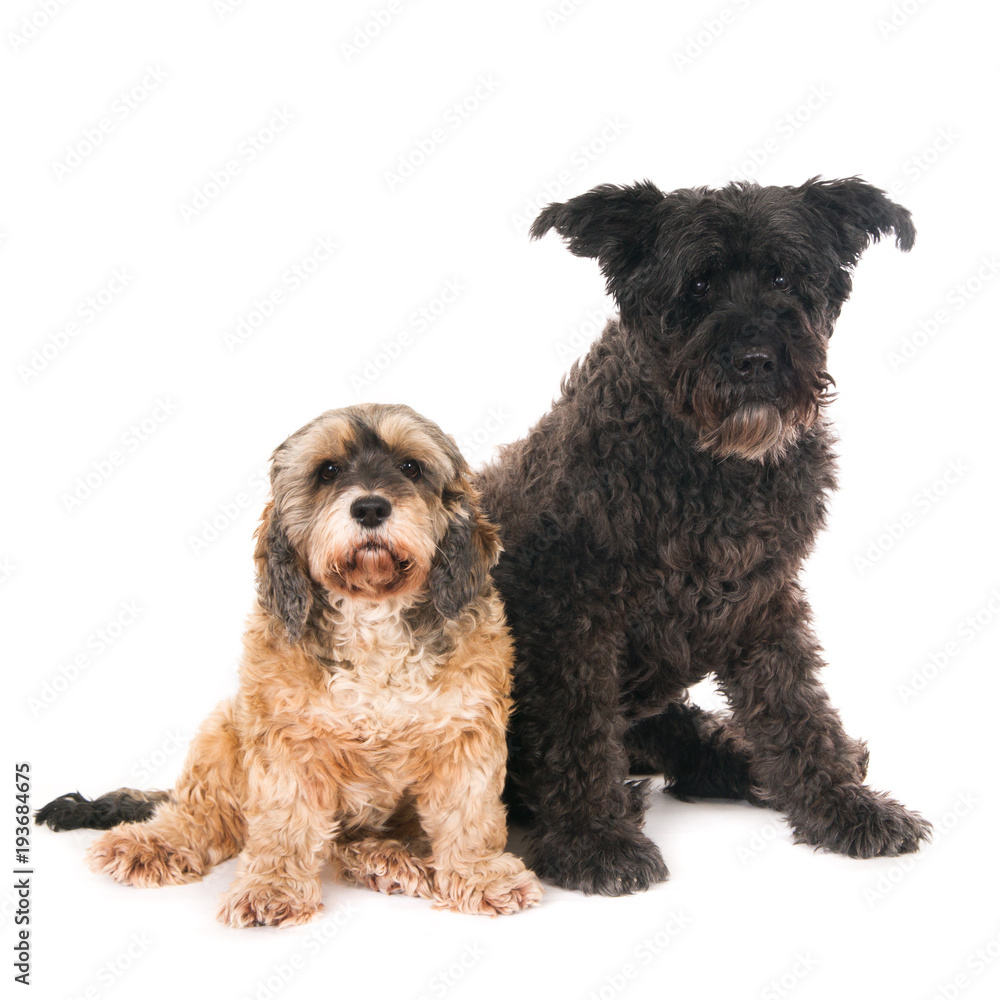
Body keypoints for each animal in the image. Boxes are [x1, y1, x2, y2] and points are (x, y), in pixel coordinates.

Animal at [35, 402, 544, 924]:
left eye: (410, 467)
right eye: (328, 471)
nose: (370, 508)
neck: (373, 614)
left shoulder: (467, 734)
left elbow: (469, 812)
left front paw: (480, 874)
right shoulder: (285, 740)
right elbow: (283, 822)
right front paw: (271, 886)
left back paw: (385, 858)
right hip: (223, 727)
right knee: (204, 816)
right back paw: (156, 843)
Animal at [476, 176, 928, 896]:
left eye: (783, 276)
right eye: (696, 285)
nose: (755, 361)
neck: (712, 466)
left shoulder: (763, 601)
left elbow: (794, 708)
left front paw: (842, 807)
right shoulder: (572, 617)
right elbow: (576, 731)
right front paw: (592, 839)